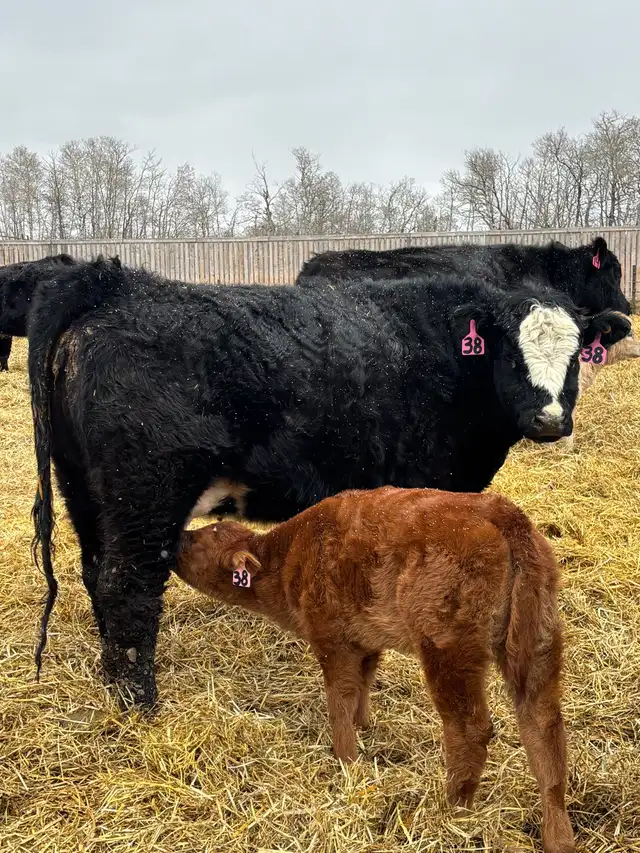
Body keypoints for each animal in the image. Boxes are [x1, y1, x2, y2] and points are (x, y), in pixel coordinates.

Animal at [27, 257, 630, 709]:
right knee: (127, 585)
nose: (548, 419)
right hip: (144, 494)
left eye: (576, 356)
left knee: (96, 572)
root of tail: (113, 285)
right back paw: (139, 699)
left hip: (84, 490)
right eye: (511, 353)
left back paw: (113, 680)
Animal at [175, 486, 575, 853]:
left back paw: (452, 808)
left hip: (448, 648)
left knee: (470, 728)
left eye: (197, 543)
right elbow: (363, 685)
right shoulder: (365, 640)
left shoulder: (330, 638)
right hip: (540, 640)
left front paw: (345, 759)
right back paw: (558, 835)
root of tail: (504, 515)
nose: (177, 539)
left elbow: (339, 699)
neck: (290, 557)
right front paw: (364, 726)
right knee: (544, 728)